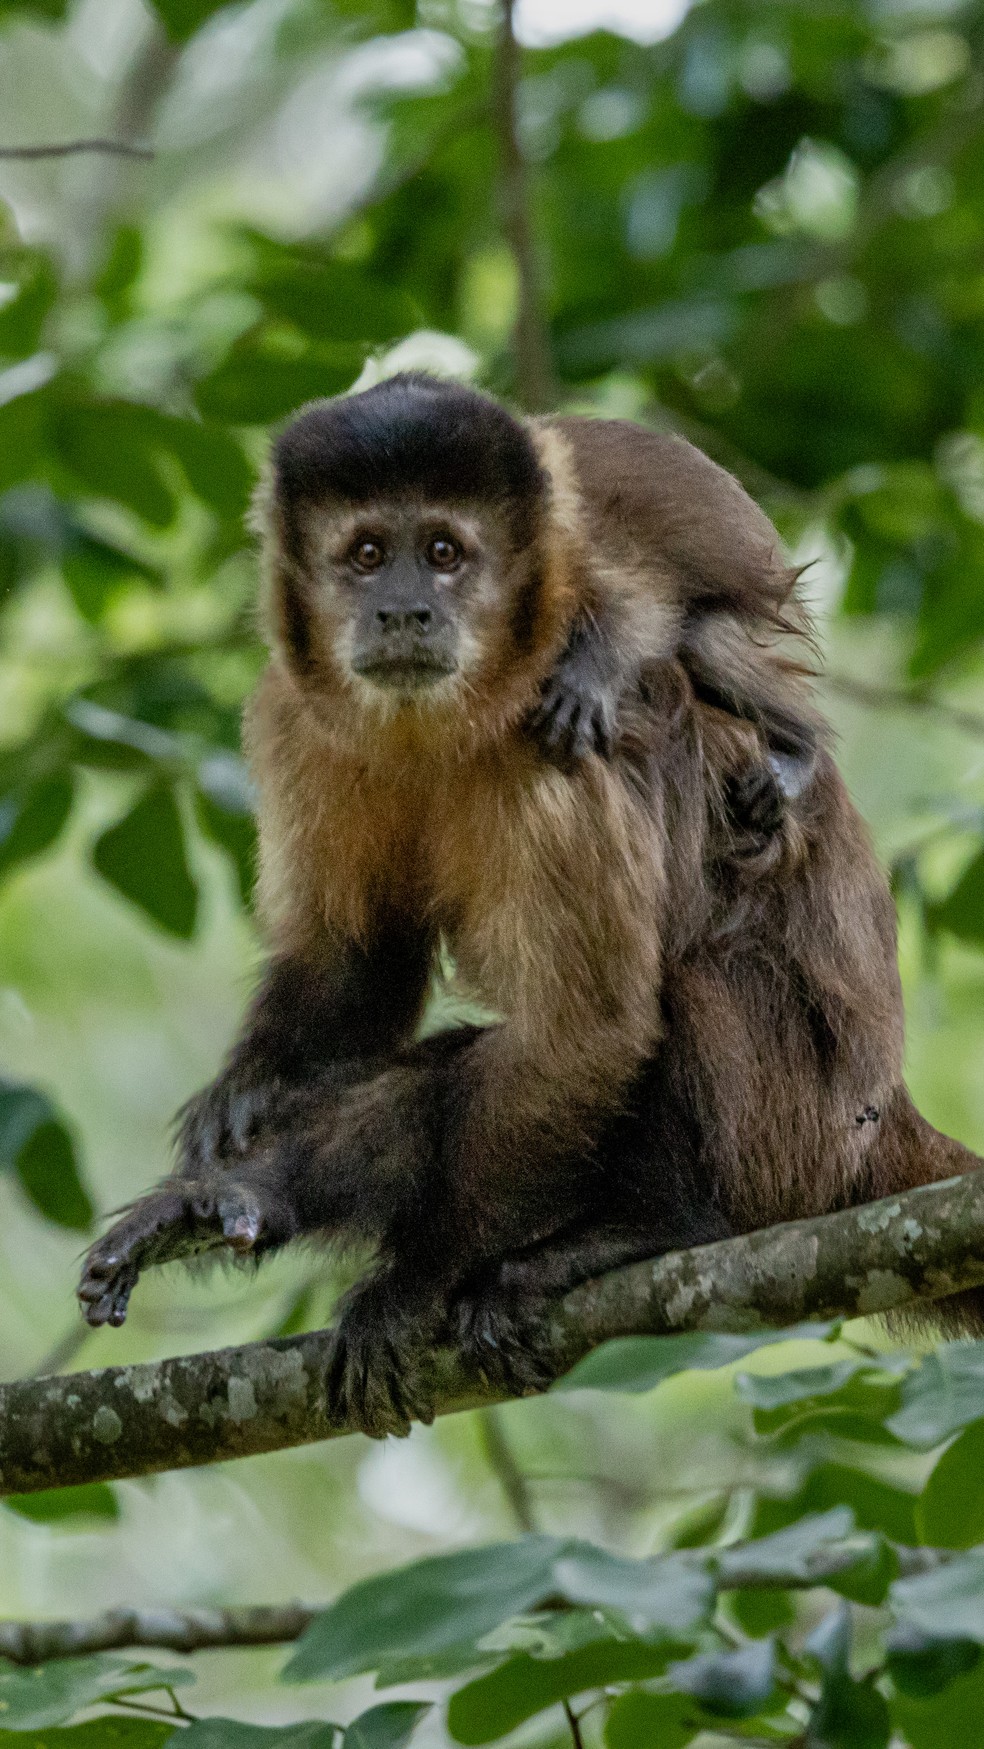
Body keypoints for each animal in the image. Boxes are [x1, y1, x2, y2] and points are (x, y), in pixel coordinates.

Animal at [78, 373, 979, 1440]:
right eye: (368, 556)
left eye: (445, 555)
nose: (406, 612)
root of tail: (885, 1111)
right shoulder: (297, 721)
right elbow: (360, 963)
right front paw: (241, 1119)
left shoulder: (555, 751)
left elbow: (586, 1032)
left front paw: (417, 1283)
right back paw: (239, 1200)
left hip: (803, 1136)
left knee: (685, 975)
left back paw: (655, 1227)